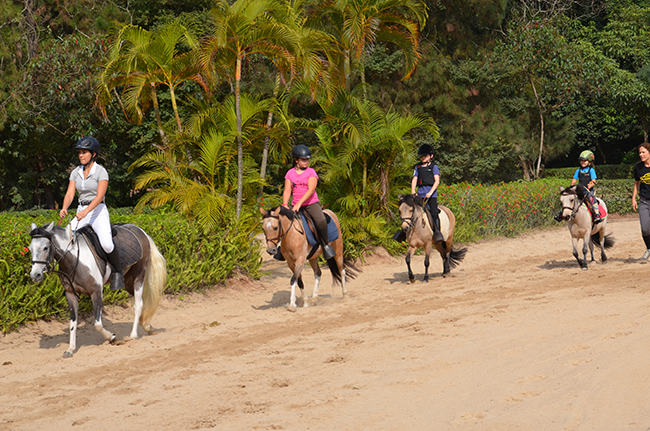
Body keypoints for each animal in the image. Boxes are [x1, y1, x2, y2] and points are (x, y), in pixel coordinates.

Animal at [28, 223, 166, 358]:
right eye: (30, 248)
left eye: (45, 248)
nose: (35, 275)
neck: (75, 260)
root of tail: (140, 230)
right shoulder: (71, 294)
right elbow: (73, 323)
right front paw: (70, 349)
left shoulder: (96, 292)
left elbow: (98, 324)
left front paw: (112, 337)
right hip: (128, 281)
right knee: (143, 302)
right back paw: (147, 326)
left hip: (139, 275)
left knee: (138, 304)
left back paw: (133, 335)